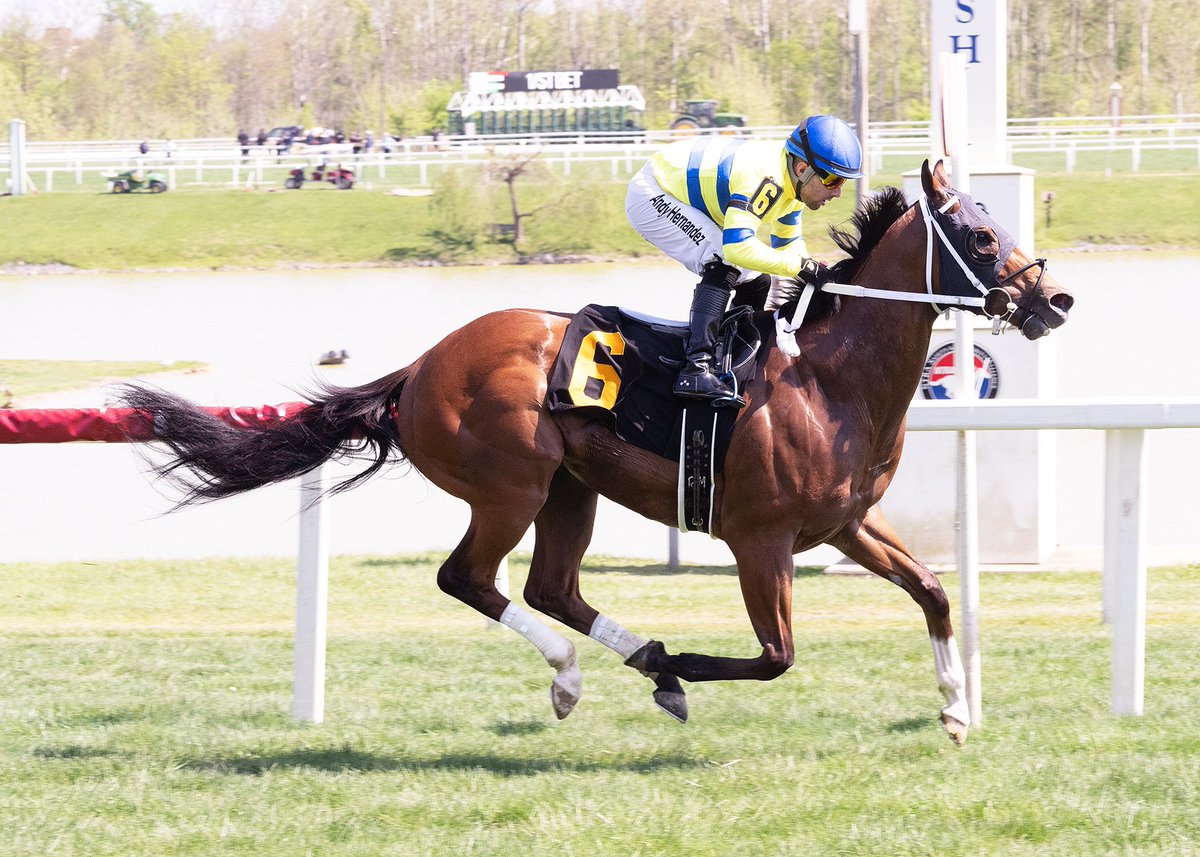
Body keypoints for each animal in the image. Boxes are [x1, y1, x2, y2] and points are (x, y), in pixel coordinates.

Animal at [119, 160, 1080, 739]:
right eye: (982, 235)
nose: (1055, 299)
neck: (827, 380)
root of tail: (422, 364)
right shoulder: (760, 539)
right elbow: (776, 656)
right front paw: (680, 665)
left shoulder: (844, 524)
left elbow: (933, 590)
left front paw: (956, 710)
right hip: (511, 484)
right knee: (470, 578)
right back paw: (579, 674)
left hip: (568, 488)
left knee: (551, 586)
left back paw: (624, 660)